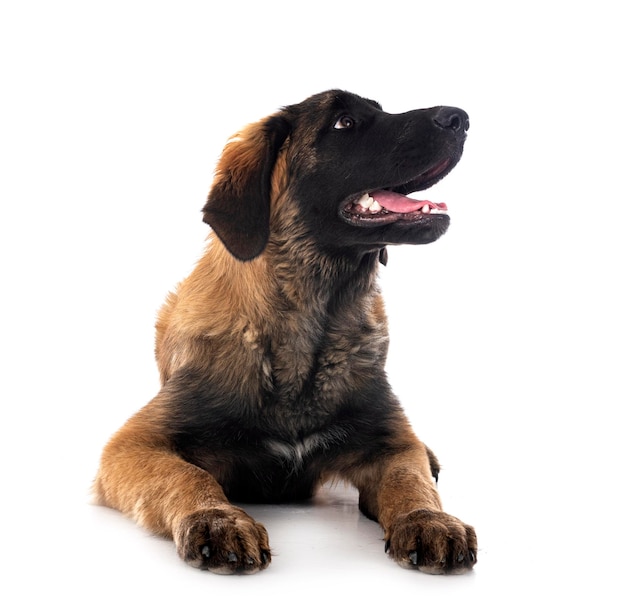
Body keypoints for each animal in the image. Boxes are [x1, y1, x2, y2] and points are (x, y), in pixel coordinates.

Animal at [92, 89, 476, 572]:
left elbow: (411, 479)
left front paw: (429, 519)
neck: (309, 324)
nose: (460, 118)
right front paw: (216, 518)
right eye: (344, 122)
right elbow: (184, 474)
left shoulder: (389, 441)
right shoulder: (134, 445)